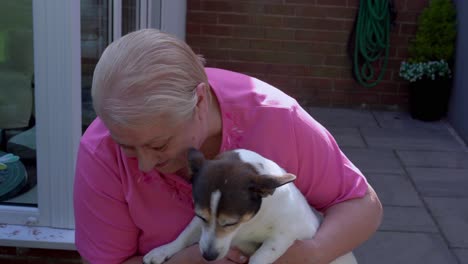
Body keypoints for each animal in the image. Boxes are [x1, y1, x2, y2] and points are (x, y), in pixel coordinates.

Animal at [144, 148, 356, 264]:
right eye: (201, 216)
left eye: (230, 223)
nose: (208, 256)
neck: (250, 222)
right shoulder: (200, 223)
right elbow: (184, 235)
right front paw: (162, 251)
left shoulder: (284, 236)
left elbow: (258, 258)